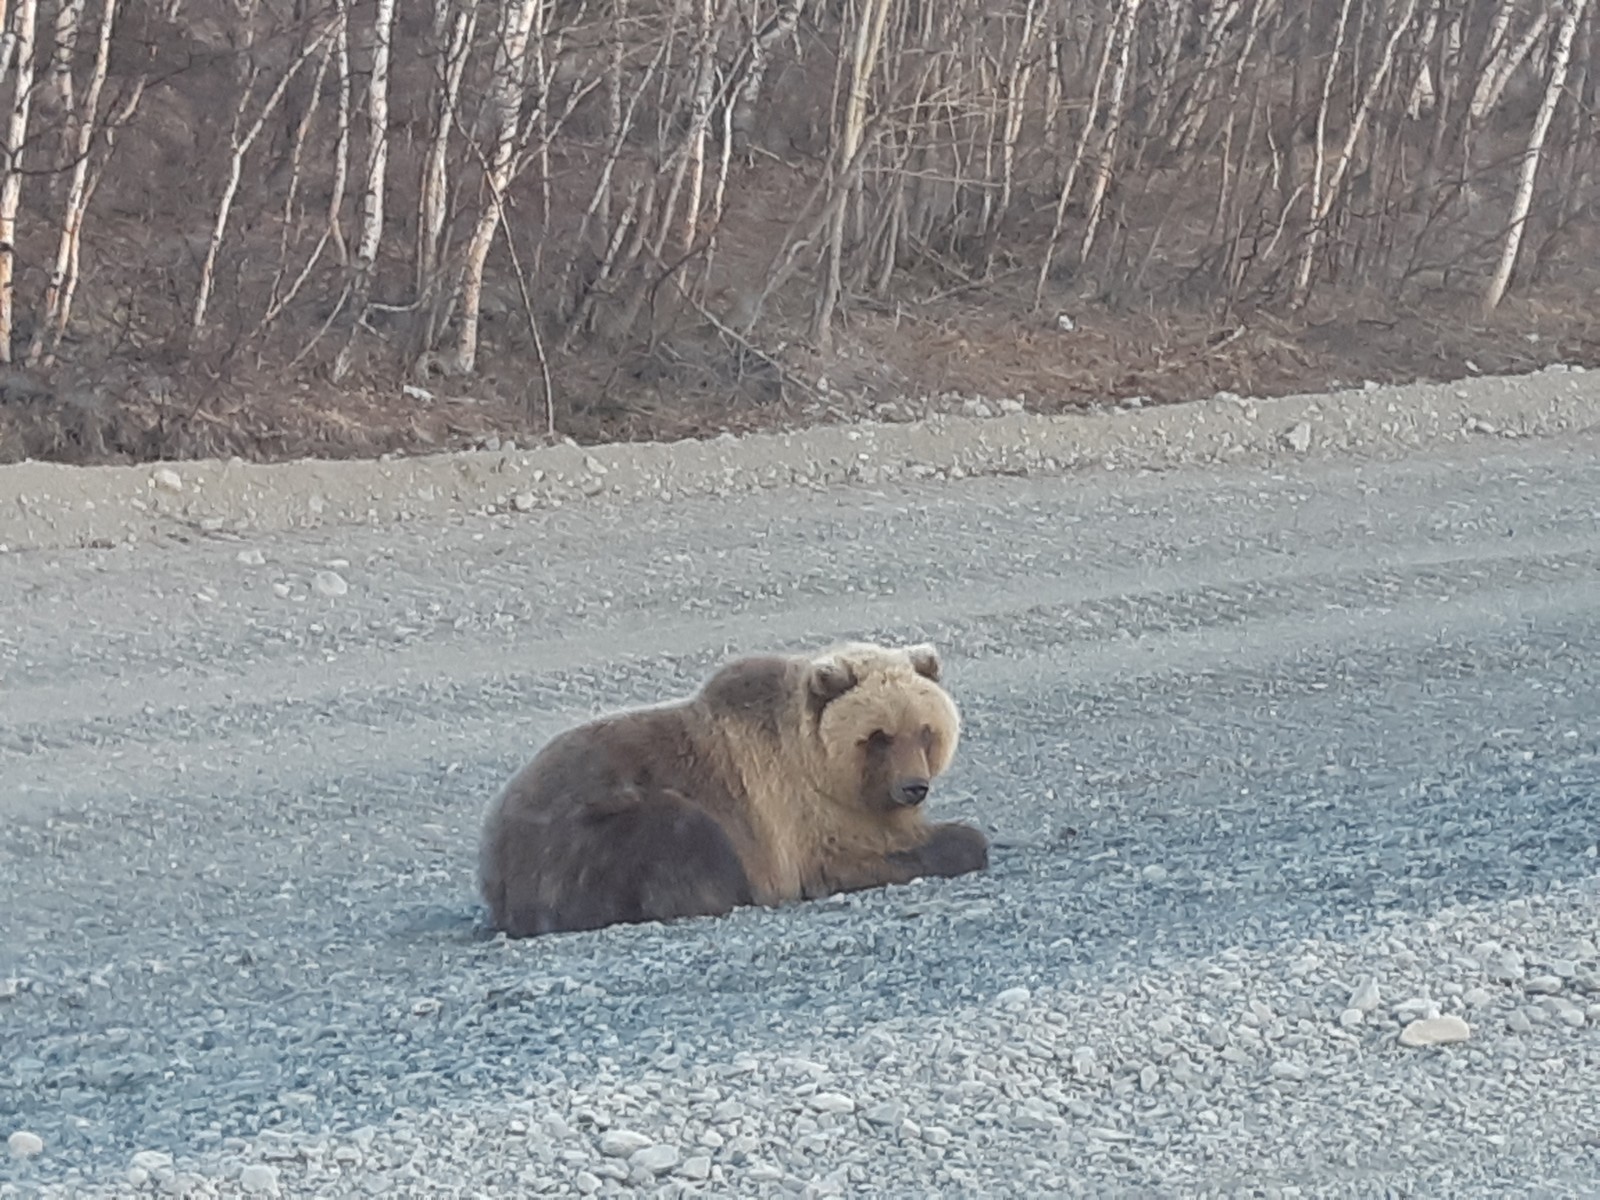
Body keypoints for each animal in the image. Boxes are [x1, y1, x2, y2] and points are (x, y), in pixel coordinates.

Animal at [476, 640, 985, 940]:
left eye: (925, 731)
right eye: (878, 735)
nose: (914, 787)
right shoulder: (804, 816)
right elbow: (852, 856)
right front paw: (962, 841)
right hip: (592, 833)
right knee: (683, 835)